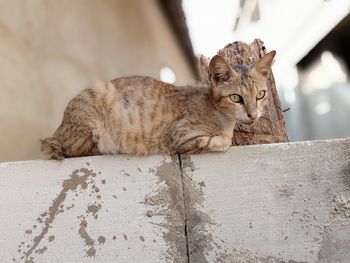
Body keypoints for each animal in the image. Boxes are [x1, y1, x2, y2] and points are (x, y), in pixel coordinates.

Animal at [41, 50, 276, 160]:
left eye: (260, 95)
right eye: (236, 98)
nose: (253, 115)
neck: (223, 119)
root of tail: (57, 131)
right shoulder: (178, 137)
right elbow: (220, 141)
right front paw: (224, 140)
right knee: (73, 151)